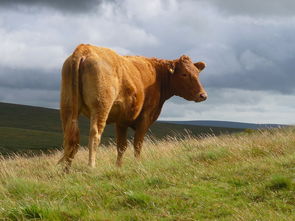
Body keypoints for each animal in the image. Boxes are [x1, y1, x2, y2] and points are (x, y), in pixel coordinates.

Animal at [59, 43, 208, 171]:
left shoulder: (122, 120)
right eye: (184, 74)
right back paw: (91, 166)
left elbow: (121, 145)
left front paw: (118, 167)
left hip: (67, 106)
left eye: (197, 73)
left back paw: (66, 170)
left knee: (70, 135)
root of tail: (84, 48)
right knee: (94, 134)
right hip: (101, 106)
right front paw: (137, 164)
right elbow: (138, 143)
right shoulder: (145, 116)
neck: (157, 76)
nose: (203, 95)